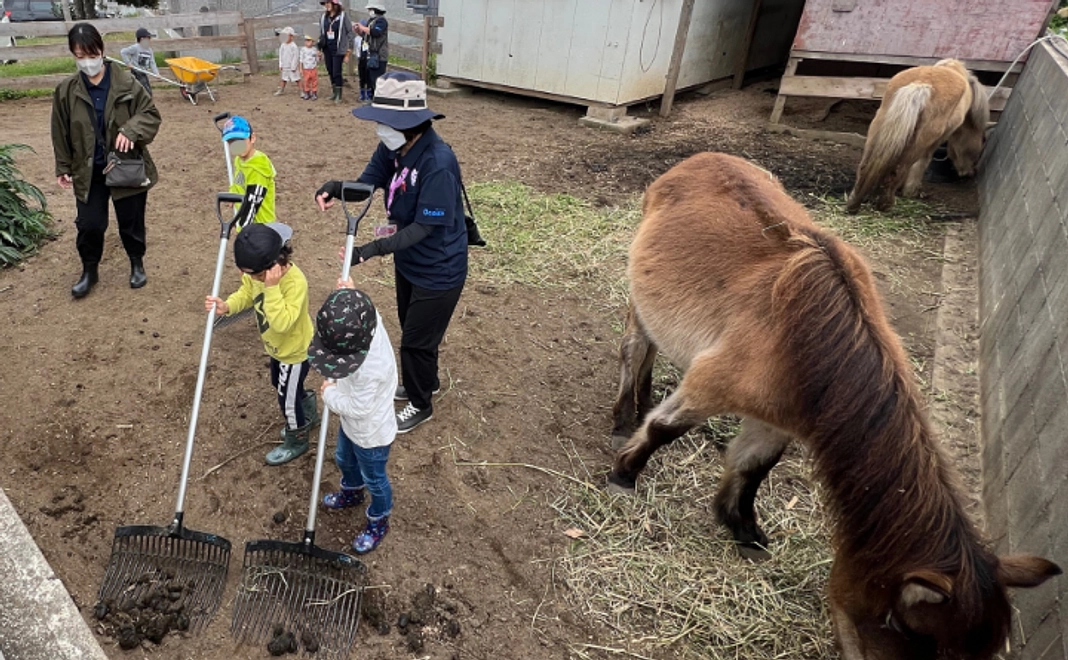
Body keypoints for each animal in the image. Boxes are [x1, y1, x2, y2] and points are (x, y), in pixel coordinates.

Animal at [610, 152, 1059, 657]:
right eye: (908, 628)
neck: (804, 342)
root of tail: (700, 159)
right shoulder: (709, 385)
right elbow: (664, 429)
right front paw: (624, 474)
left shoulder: (777, 421)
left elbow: (753, 466)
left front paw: (742, 528)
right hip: (640, 301)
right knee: (635, 347)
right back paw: (625, 415)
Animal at [845, 60, 986, 210]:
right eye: (980, 138)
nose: (969, 173)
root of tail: (921, 84)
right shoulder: (935, 142)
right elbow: (922, 162)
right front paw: (910, 191)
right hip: (919, 142)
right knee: (900, 169)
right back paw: (886, 203)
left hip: (878, 128)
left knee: (865, 166)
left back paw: (854, 202)